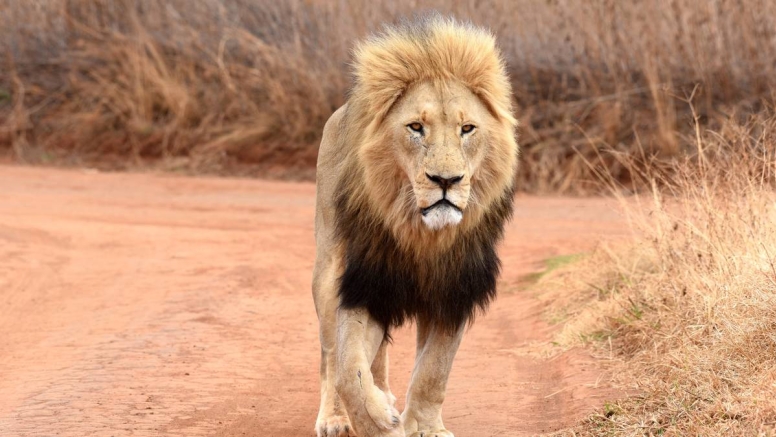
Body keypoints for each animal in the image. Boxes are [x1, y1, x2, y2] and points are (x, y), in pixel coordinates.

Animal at [312, 14, 520, 436]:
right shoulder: (364, 283)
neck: (422, 236)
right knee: (329, 355)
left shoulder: (453, 291)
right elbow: (347, 370)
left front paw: (424, 426)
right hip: (327, 274)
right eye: (415, 128)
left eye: (467, 129)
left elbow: (433, 372)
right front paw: (376, 422)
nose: (446, 180)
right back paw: (335, 418)